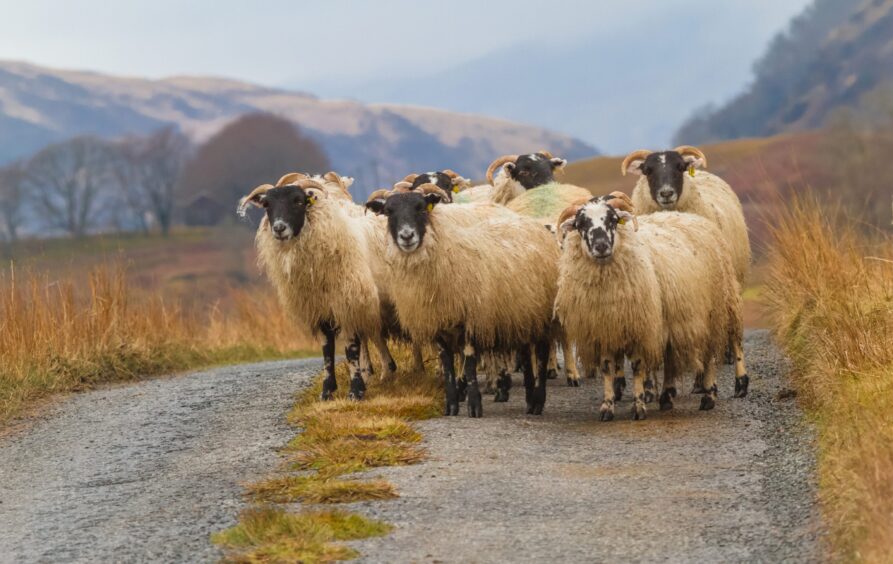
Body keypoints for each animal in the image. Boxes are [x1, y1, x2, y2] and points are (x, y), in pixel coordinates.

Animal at [237, 176, 404, 400]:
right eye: (266, 204)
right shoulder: (321, 308)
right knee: (373, 335)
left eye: (298, 201)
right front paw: (328, 391)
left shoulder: (345, 302)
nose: (279, 228)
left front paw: (355, 391)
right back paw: (381, 371)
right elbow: (327, 351)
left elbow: (351, 349)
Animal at [556, 196, 744, 420]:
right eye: (581, 224)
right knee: (673, 359)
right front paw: (607, 406)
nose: (601, 246)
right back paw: (667, 397)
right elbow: (608, 369)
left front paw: (639, 407)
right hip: (677, 319)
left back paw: (720, 392)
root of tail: (692, 217)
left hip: (718, 308)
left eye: (612, 220)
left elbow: (638, 367)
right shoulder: (605, 330)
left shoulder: (641, 327)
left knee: (719, 351)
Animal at [620, 145, 752, 396]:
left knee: (732, 333)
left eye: (680, 167)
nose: (666, 193)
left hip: (727, 286)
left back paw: (735, 378)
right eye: (647, 170)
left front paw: (701, 381)